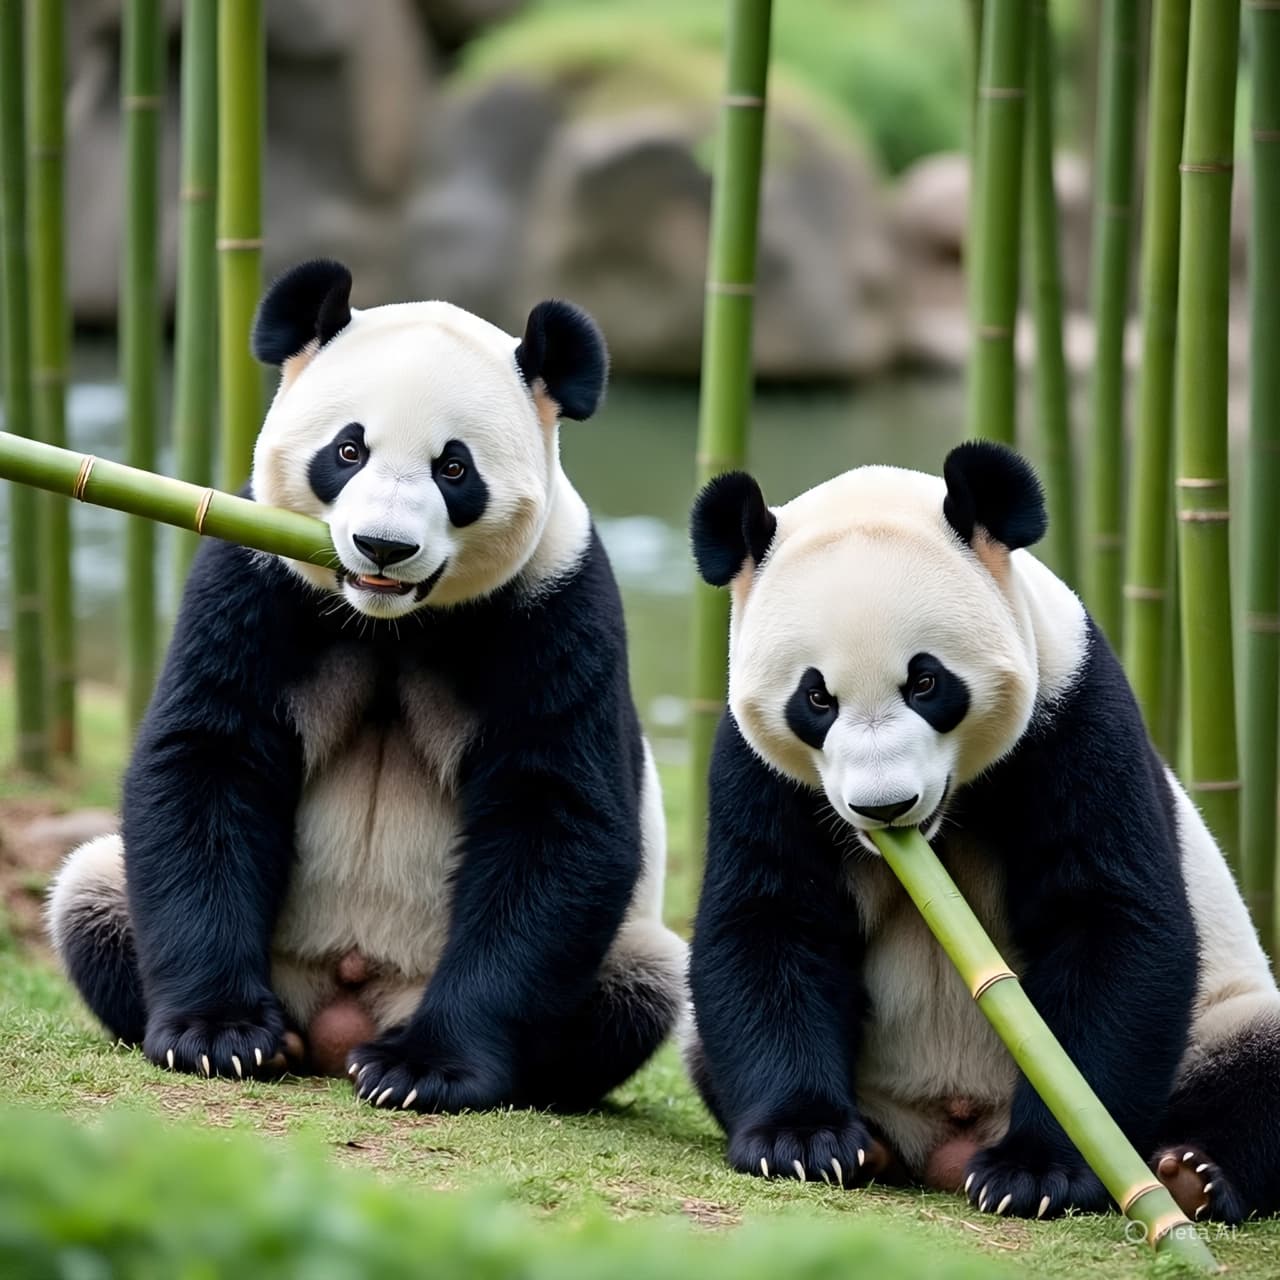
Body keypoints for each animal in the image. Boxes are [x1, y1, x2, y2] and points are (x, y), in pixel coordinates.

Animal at [47, 259, 687, 1112]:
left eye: (454, 468)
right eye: (347, 450)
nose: (383, 546)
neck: (389, 621)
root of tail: (341, 1019)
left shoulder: (555, 608)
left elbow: (555, 815)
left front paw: (425, 1070)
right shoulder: (254, 574)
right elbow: (208, 760)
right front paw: (219, 1036)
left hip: (608, 959)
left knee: (643, 977)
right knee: (90, 891)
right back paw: (276, 1039)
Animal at [684, 440, 1280, 1224]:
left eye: (925, 682)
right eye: (815, 697)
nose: (884, 806)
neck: (943, 824)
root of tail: (950, 1137)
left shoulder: (1075, 714)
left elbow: (1109, 920)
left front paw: (1037, 1171)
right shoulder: (759, 768)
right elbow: (771, 920)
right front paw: (804, 1141)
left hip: (1218, 1019)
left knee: (1258, 1062)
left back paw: (1192, 1173)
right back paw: (874, 1147)